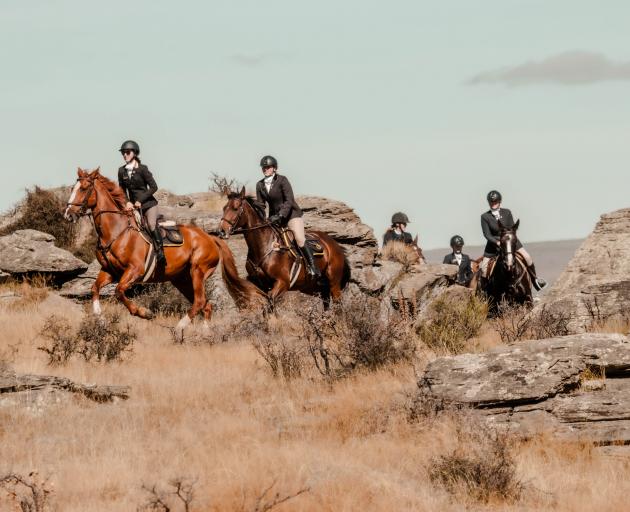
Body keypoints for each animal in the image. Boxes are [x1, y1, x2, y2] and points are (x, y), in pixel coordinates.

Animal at [62, 166, 264, 330]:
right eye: (72, 189)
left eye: (84, 188)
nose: (68, 215)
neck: (117, 231)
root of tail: (211, 237)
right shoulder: (110, 271)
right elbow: (94, 289)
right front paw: (100, 319)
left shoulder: (134, 271)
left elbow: (119, 291)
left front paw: (144, 313)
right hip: (182, 279)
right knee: (206, 305)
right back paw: (204, 333)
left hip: (198, 272)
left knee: (200, 302)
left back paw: (179, 327)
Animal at [220, 188, 354, 308]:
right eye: (224, 208)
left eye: (235, 208)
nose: (221, 231)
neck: (264, 245)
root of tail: (335, 244)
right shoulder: (260, 284)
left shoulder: (283, 282)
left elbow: (270, 303)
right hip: (317, 287)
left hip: (334, 284)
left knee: (338, 306)